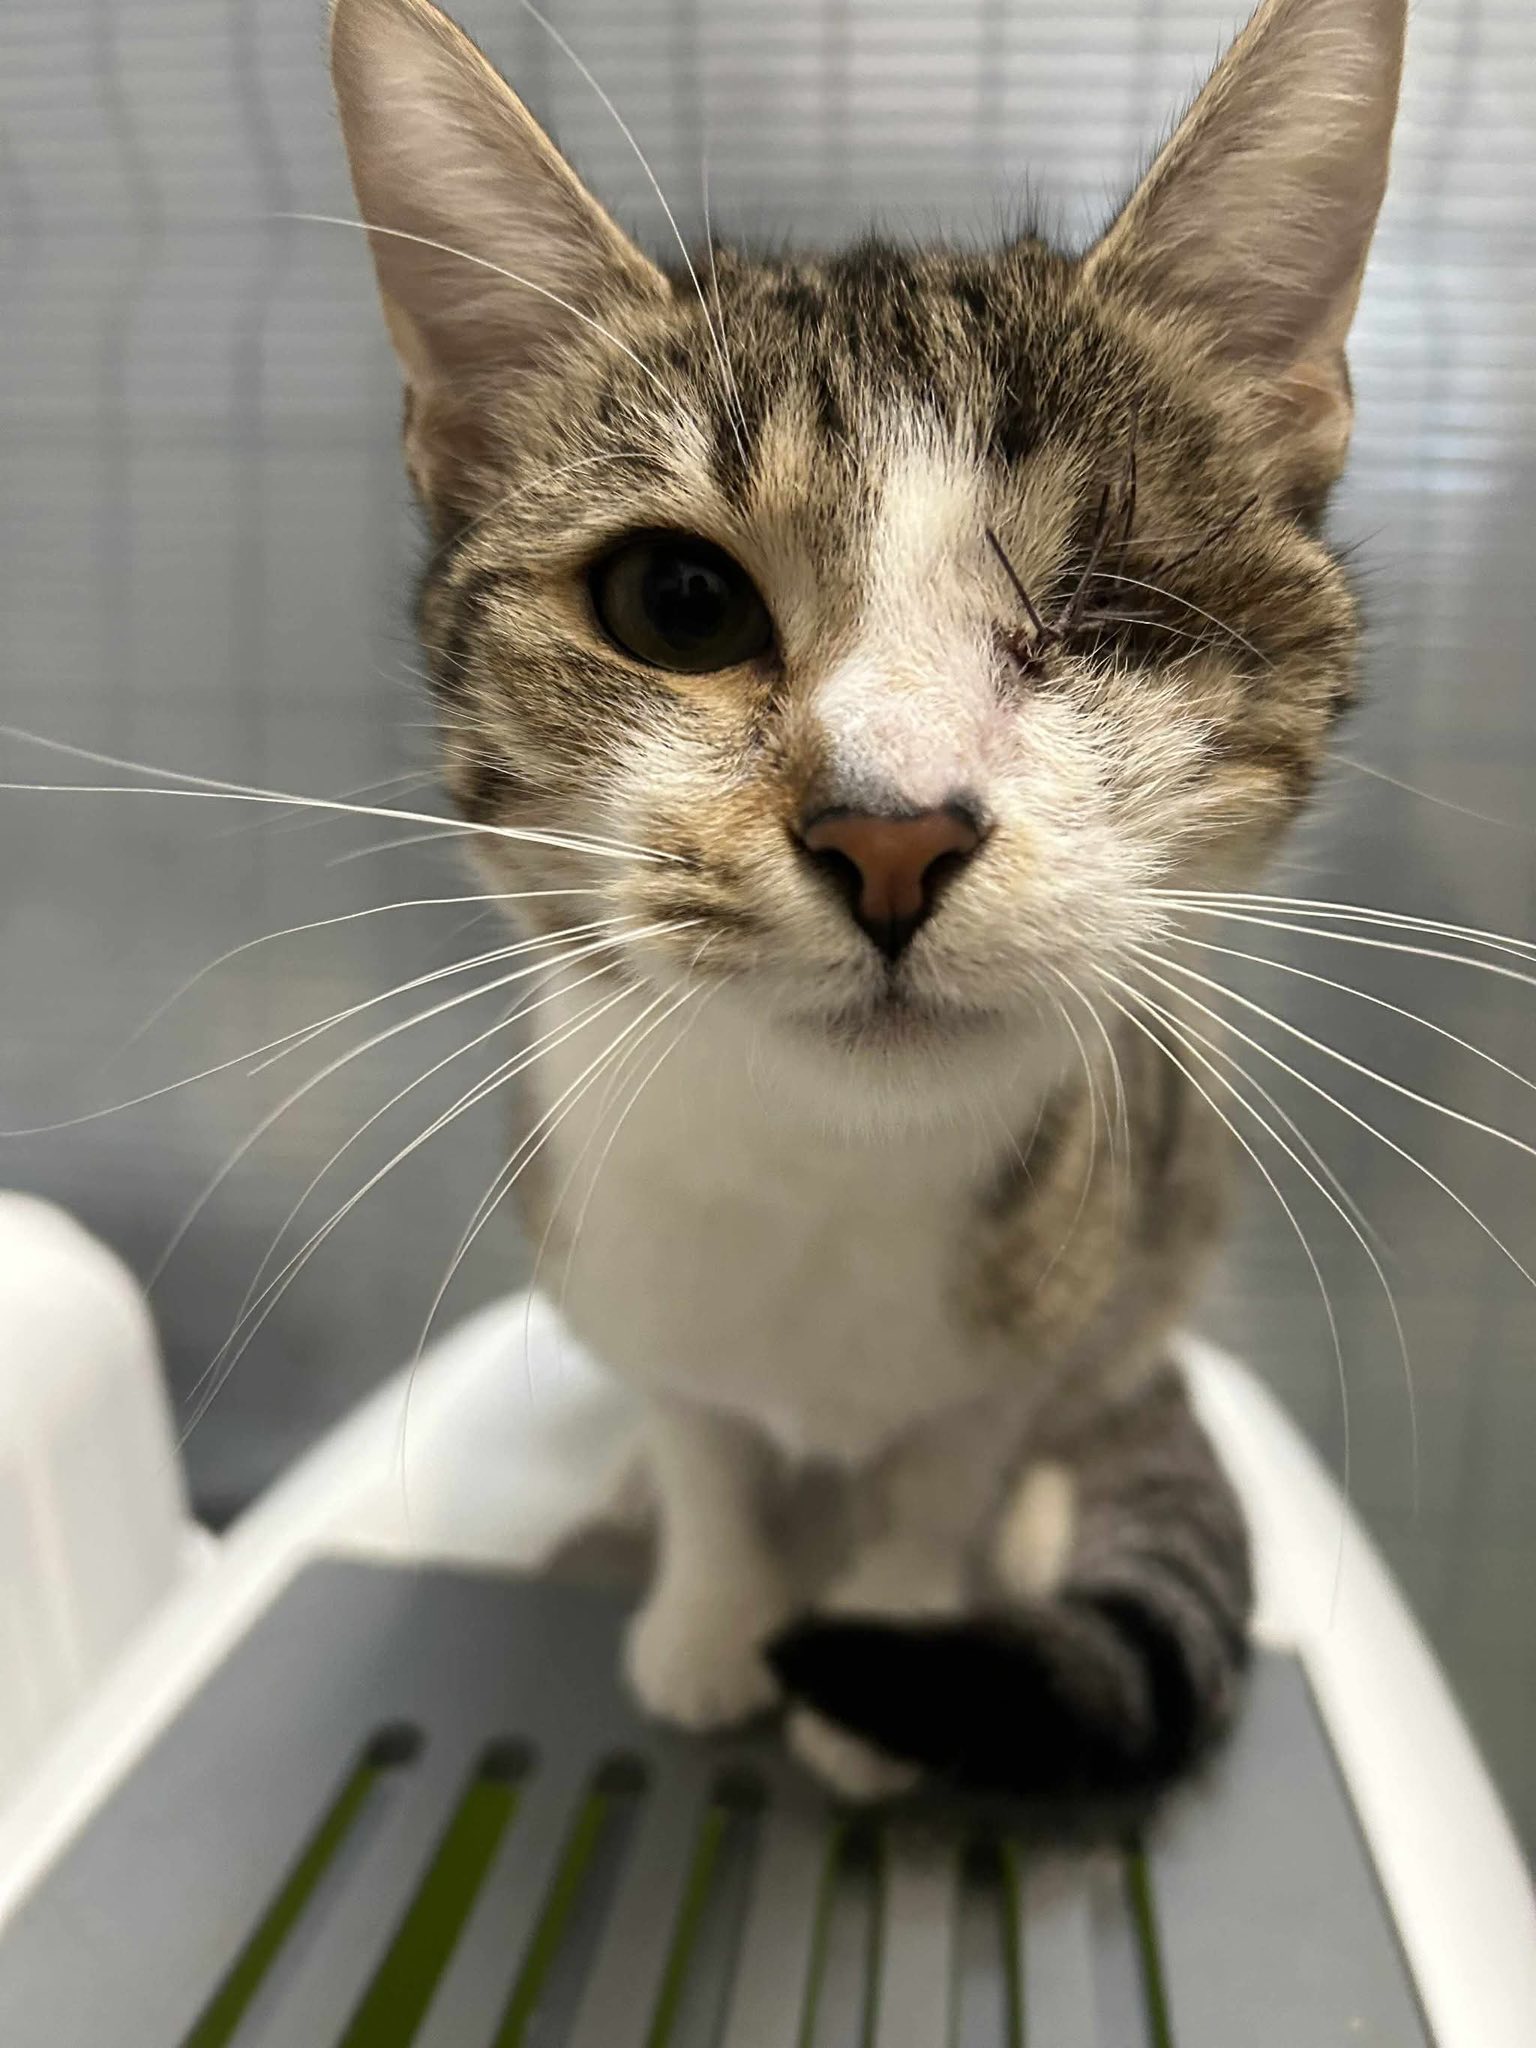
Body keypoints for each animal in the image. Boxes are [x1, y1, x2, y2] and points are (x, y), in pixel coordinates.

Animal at [329, 0, 1405, 1802]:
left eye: (1111, 613)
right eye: (678, 600)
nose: (890, 835)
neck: (831, 1172)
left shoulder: (1036, 1315)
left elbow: (941, 1478)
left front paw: (875, 1645)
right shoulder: (619, 1265)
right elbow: (701, 1436)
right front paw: (707, 1617)